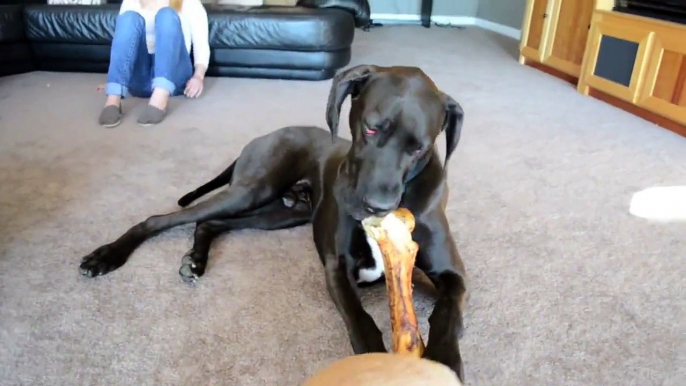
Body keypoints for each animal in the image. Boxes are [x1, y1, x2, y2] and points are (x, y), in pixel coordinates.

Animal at [79, 63, 468, 380]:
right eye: (371, 129)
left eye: (419, 148)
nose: (378, 207)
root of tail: (268, 135)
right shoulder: (336, 267)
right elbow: (361, 322)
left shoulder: (450, 275)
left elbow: (448, 314)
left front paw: (446, 359)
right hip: (252, 190)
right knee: (161, 219)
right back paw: (107, 256)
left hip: (280, 214)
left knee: (212, 224)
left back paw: (196, 260)